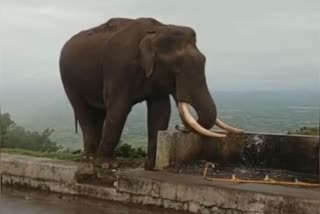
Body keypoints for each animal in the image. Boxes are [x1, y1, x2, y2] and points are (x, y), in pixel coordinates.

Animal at [58, 17, 241, 170]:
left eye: (204, 60)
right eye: (177, 66)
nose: (179, 127)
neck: (159, 29)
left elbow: (160, 112)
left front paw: (151, 166)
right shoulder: (119, 68)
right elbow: (118, 109)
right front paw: (106, 165)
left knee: (99, 113)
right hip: (68, 79)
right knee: (84, 112)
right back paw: (90, 158)